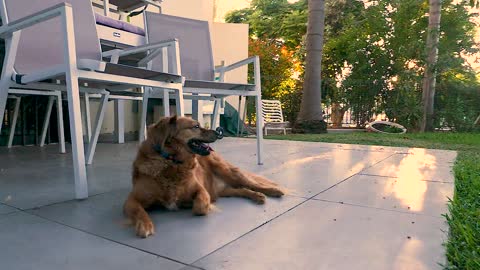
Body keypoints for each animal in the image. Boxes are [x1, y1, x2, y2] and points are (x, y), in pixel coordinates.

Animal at [124, 115, 284, 237]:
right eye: (196, 126)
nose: (219, 132)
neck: (171, 162)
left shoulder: (201, 190)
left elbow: (200, 207)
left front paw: (189, 204)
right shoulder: (131, 200)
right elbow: (139, 211)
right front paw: (145, 225)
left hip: (229, 172)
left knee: (252, 184)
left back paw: (273, 191)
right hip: (224, 190)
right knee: (242, 190)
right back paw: (257, 196)